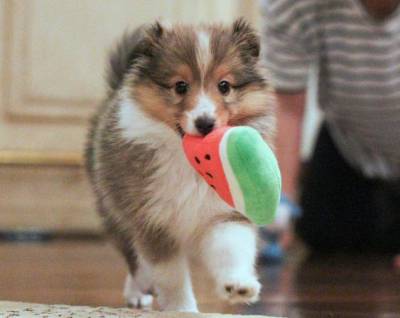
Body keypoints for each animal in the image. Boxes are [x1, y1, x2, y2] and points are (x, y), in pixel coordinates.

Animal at [85, 18, 276, 312]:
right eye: (180, 86)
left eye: (224, 86)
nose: (205, 123)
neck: (188, 162)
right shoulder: (153, 221)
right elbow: (170, 275)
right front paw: (182, 308)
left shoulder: (224, 212)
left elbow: (232, 247)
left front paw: (238, 285)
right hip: (114, 210)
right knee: (135, 261)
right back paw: (138, 292)